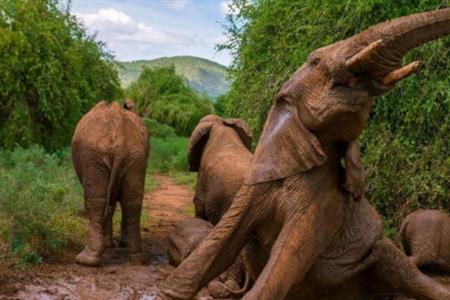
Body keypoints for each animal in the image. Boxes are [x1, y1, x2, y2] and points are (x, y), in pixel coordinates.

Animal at [71, 101, 149, 268]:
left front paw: (108, 246)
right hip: (135, 156)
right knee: (132, 203)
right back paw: (138, 260)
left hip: (93, 155)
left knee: (96, 202)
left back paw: (85, 261)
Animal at [156, 8, 450, 298]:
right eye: (316, 60)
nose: (420, 63)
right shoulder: (258, 182)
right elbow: (223, 239)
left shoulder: (324, 208)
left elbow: (287, 258)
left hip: (381, 247)